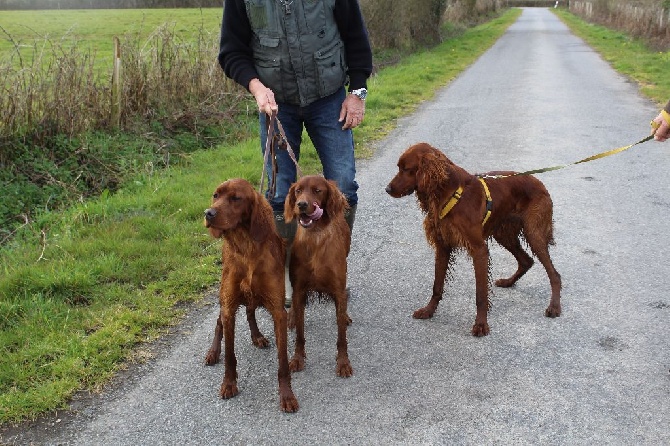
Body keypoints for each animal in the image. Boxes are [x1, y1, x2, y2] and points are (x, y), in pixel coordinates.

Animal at [203, 176, 300, 412]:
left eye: (236, 198)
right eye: (216, 195)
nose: (208, 213)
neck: (246, 248)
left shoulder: (278, 311)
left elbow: (283, 362)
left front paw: (287, 396)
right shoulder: (229, 307)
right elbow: (230, 355)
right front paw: (229, 384)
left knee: (249, 311)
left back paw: (257, 336)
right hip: (225, 298)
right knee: (220, 322)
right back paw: (213, 352)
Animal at [386, 142, 564, 334]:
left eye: (406, 169)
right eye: (399, 167)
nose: (387, 189)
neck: (450, 193)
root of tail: (540, 183)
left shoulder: (479, 250)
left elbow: (480, 294)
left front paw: (481, 325)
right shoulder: (443, 246)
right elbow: (437, 286)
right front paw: (428, 310)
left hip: (534, 233)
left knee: (554, 274)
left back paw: (554, 307)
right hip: (504, 234)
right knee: (526, 261)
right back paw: (508, 282)